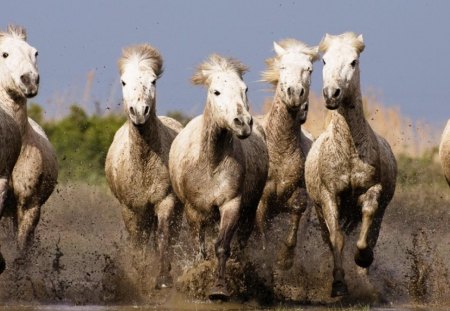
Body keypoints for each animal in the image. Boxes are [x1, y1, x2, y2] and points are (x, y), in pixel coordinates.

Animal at [105, 44, 183, 290]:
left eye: (153, 81)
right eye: (123, 82)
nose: (139, 111)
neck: (143, 164)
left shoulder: (165, 201)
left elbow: (163, 236)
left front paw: (163, 278)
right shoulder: (131, 208)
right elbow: (138, 242)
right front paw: (140, 276)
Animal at [169, 54, 268, 302]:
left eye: (245, 88)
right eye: (216, 92)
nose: (242, 122)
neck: (211, 162)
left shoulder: (231, 204)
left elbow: (222, 246)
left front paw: (219, 288)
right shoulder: (194, 210)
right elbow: (200, 249)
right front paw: (197, 279)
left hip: (250, 209)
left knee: (241, 242)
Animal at [256, 39, 316, 270]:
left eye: (309, 69)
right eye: (282, 67)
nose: (295, 93)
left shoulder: (297, 195)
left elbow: (297, 213)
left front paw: (284, 259)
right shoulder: (262, 199)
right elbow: (261, 231)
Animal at [306, 33, 398, 298]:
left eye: (353, 62)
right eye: (324, 61)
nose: (331, 94)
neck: (347, 151)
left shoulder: (372, 190)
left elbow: (366, 229)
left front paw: (363, 258)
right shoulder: (329, 195)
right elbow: (336, 238)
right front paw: (338, 284)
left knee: (371, 231)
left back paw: (366, 281)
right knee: (330, 238)